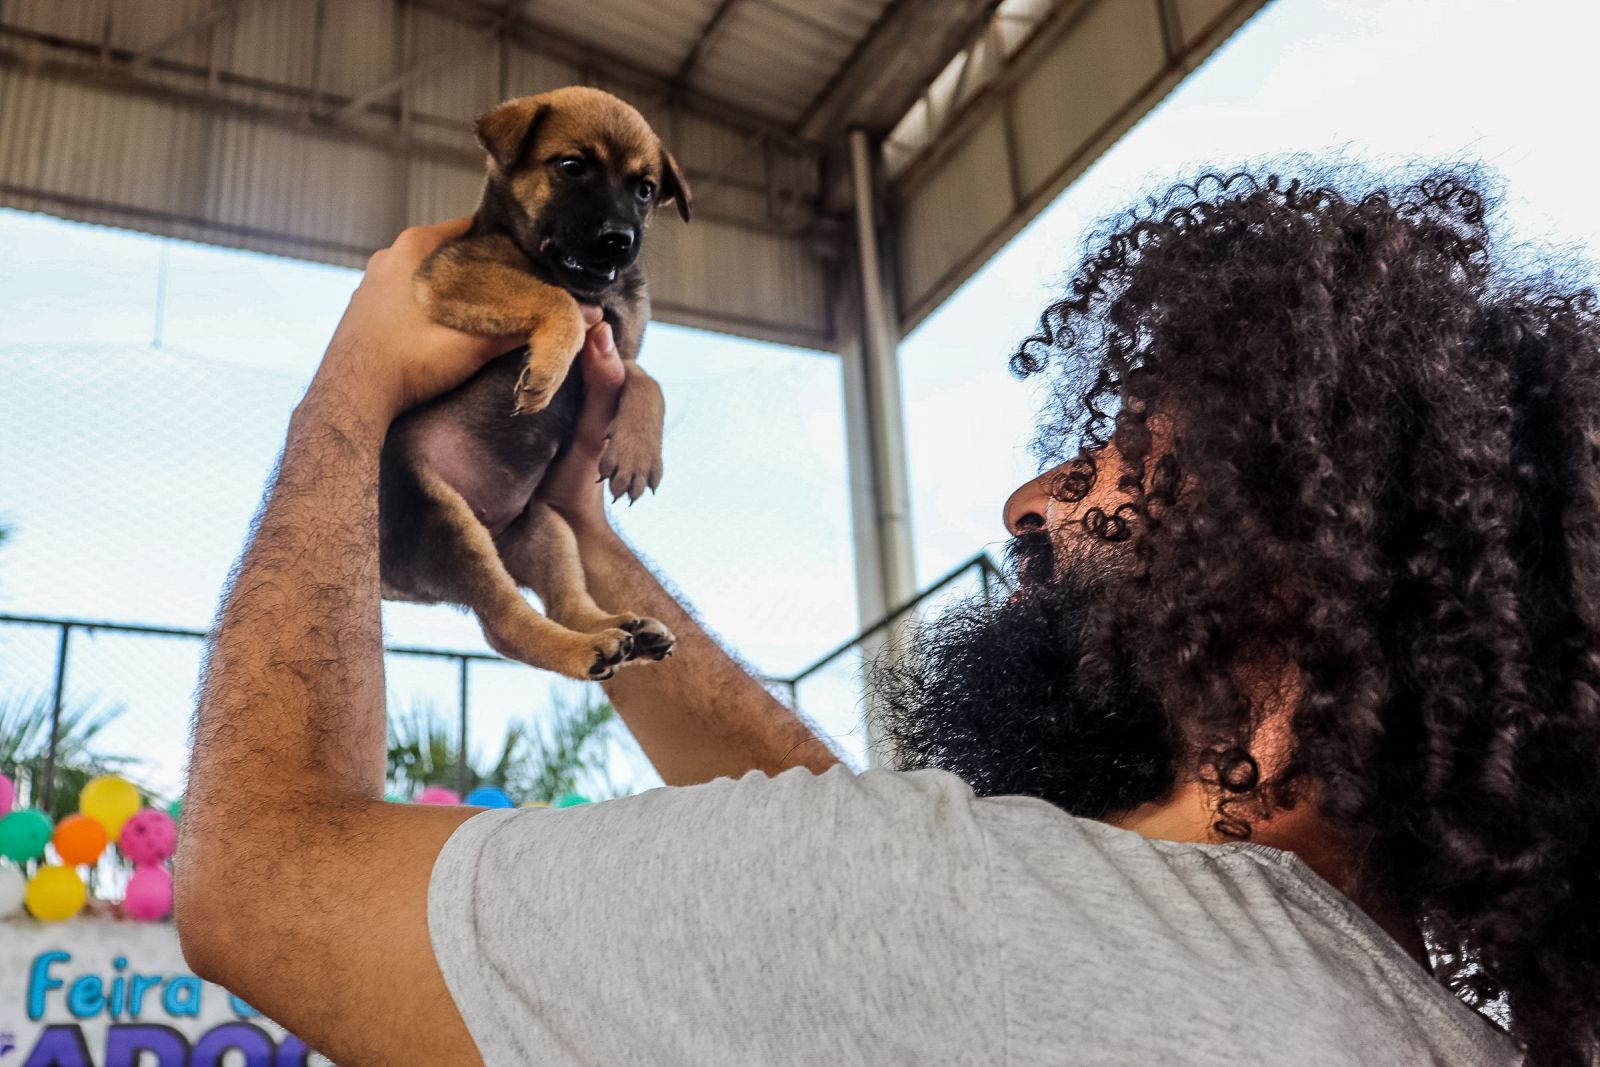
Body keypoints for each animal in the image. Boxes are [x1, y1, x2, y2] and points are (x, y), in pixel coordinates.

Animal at [380, 87, 694, 681]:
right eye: (570, 166)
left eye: (645, 189)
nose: (621, 240)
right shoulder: (453, 275)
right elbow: (558, 302)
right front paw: (548, 368)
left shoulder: (618, 349)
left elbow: (649, 379)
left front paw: (639, 450)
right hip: (444, 520)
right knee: (507, 624)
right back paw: (586, 648)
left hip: (546, 530)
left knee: (562, 604)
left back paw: (625, 630)